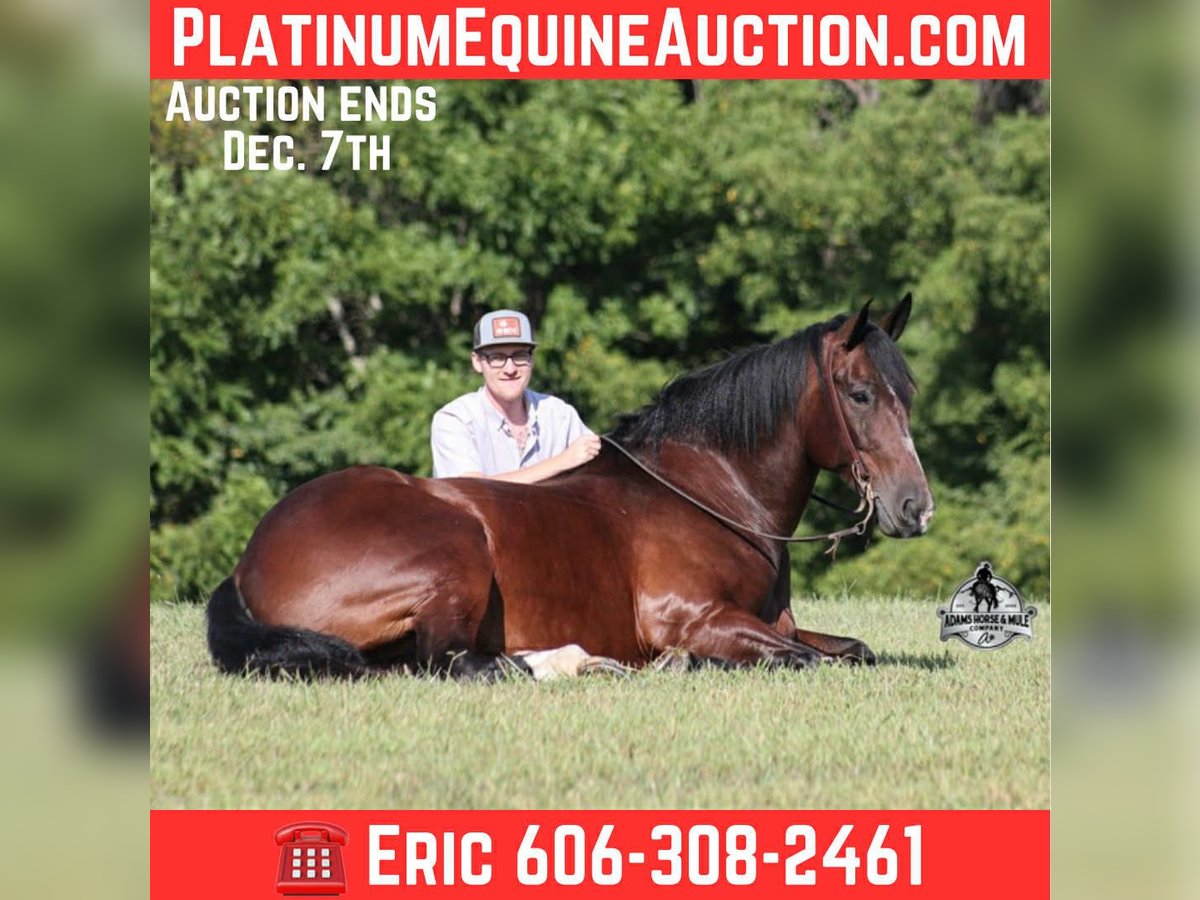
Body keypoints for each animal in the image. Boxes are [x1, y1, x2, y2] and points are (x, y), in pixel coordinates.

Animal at [207, 295, 934, 680]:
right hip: (454, 552)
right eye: (860, 393)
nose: (916, 509)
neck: (714, 493)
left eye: (908, 392)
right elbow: (805, 658)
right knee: (456, 661)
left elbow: (851, 650)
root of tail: (249, 560)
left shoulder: (771, 622)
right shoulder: (695, 620)